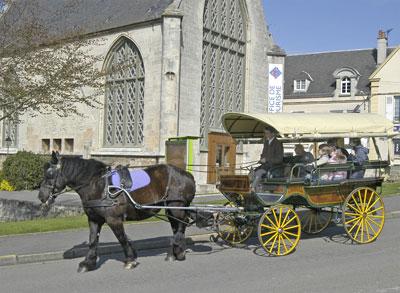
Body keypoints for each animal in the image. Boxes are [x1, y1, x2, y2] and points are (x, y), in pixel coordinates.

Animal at [39, 152, 197, 270]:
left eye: (50, 174)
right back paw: (175, 252)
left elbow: (121, 238)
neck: (99, 185)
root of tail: (188, 175)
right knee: (177, 227)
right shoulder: (94, 219)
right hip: (171, 209)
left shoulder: (113, 219)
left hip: (176, 207)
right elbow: (92, 240)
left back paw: (178, 252)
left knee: (180, 226)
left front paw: (130, 260)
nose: (41, 196)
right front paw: (88, 263)